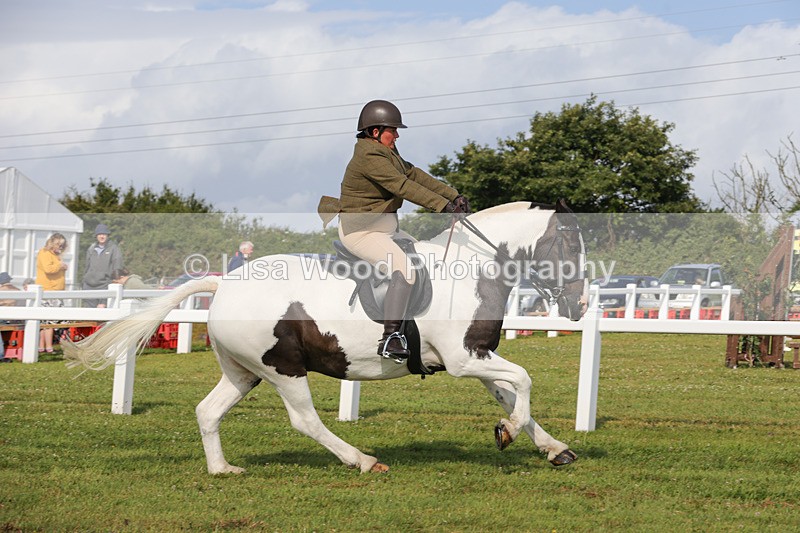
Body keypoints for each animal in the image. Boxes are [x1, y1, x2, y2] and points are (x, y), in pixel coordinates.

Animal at [64, 200, 587, 474]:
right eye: (567, 243)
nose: (579, 307)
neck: (474, 266)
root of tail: (223, 283)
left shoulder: (478, 356)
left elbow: (512, 394)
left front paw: (550, 446)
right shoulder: (464, 360)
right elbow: (524, 380)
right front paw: (508, 433)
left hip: (243, 372)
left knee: (208, 411)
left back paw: (222, 469)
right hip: (283, 368)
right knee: (305, 421)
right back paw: (362, 460)